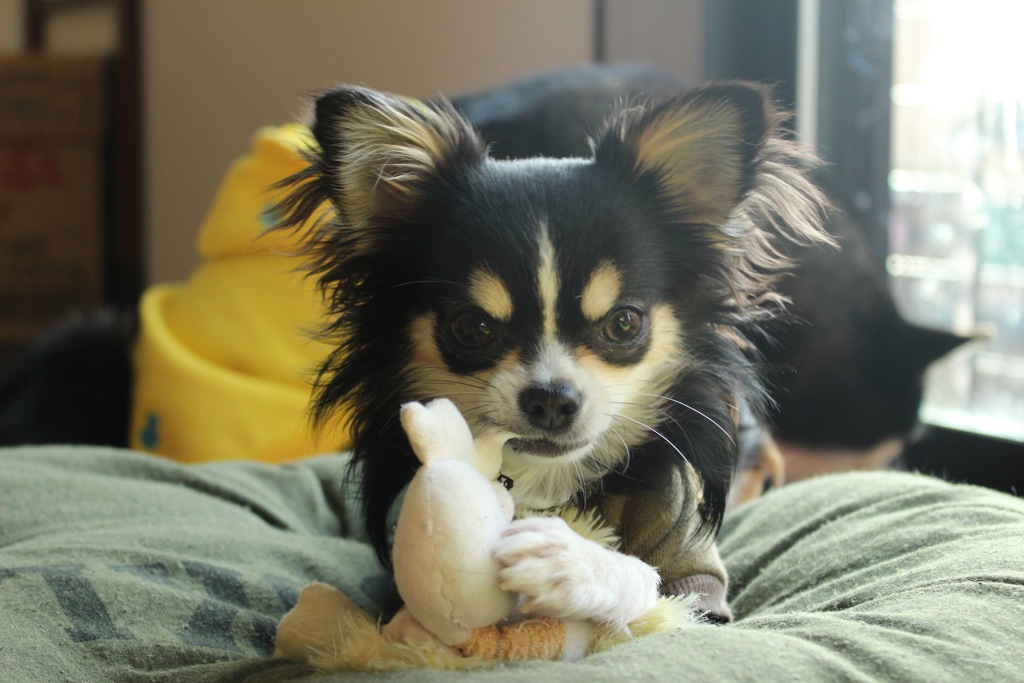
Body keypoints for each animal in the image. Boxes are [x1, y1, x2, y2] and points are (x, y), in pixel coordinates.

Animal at [276, 78, 827, 626]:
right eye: (471, 328)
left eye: (624, 323)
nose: (551, 400)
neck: (547, 483)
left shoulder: (697, 590)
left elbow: (652, 590)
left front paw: (570, 562)